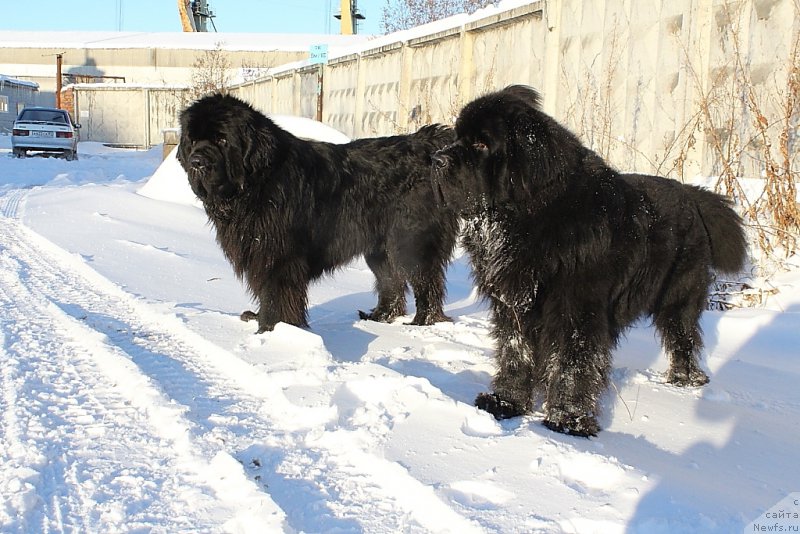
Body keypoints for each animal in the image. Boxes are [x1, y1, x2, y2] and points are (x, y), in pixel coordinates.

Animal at [179, 92, 460, 336]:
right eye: (192, 141)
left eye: (222, 140)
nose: (196, 162)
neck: (257, 182)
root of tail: (427, 143)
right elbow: (265, 291)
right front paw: (261, 321)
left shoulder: (278, 255)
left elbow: (275, 294)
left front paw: (272, 330)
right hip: (380, 249)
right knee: (391, 281)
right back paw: (379, 316)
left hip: (412, 241)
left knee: (426, 282)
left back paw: (422, 323)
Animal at [432, 86, 752, 438]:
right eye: (458, 137)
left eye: (481, 143)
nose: (436, 159)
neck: (534, 216)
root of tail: (692, 193)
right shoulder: (514, 305)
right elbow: (515, 351)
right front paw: (505, 403)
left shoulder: (577, 307)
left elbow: (572, 362)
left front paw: (567, 421)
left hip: (678, 297)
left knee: (683, 336)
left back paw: (686, 380)